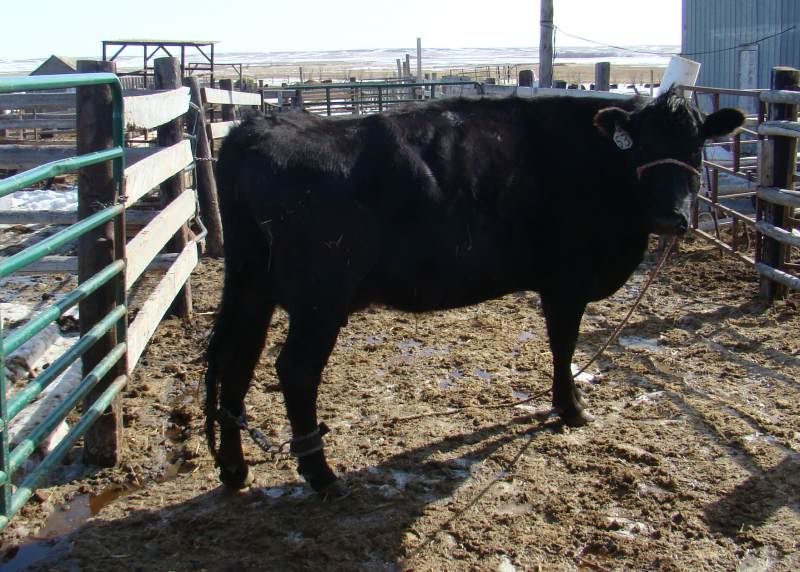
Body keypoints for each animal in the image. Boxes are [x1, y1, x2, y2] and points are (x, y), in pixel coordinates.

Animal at [204, 88, 744, 494]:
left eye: (696, 146)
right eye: (639, 145)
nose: (672, 219)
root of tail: (259, 126)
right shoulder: (567, 281)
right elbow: (564, 345)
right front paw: (571, 410)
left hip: (253, 285)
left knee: (236, 362)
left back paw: (234, 468)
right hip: (321, 298)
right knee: (294, 370)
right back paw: (320, 473)